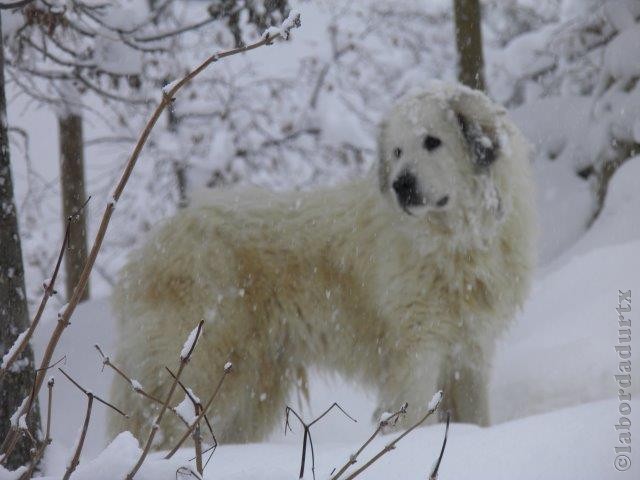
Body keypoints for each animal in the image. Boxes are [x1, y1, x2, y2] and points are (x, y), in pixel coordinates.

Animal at [109, 81, 536, 446]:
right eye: (397, 152)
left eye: (432, 142)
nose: (401, 185)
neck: (458, 242)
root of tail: (147, 250)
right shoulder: (417, 351)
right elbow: (413, 419)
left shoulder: (470, 353)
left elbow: (477, 420)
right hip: (206, 369)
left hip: (251, 388)